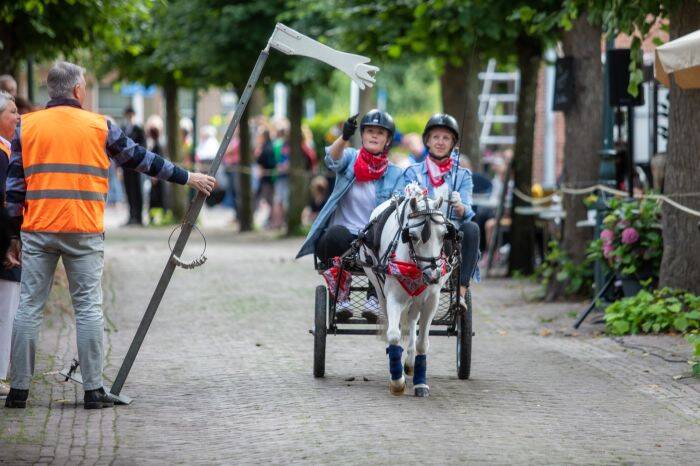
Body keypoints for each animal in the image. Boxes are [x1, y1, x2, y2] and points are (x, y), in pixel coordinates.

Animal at [360, 183, 454, 396]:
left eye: (444, 234)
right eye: (412, 236)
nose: (433, 275)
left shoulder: (431, 300)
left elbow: (422, 343)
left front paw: (420, 382)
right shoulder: (393, 297)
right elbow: (394, 334)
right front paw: (397, 381)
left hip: (418, 297)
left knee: (412, 320)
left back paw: (410, 363)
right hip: (380, 289)